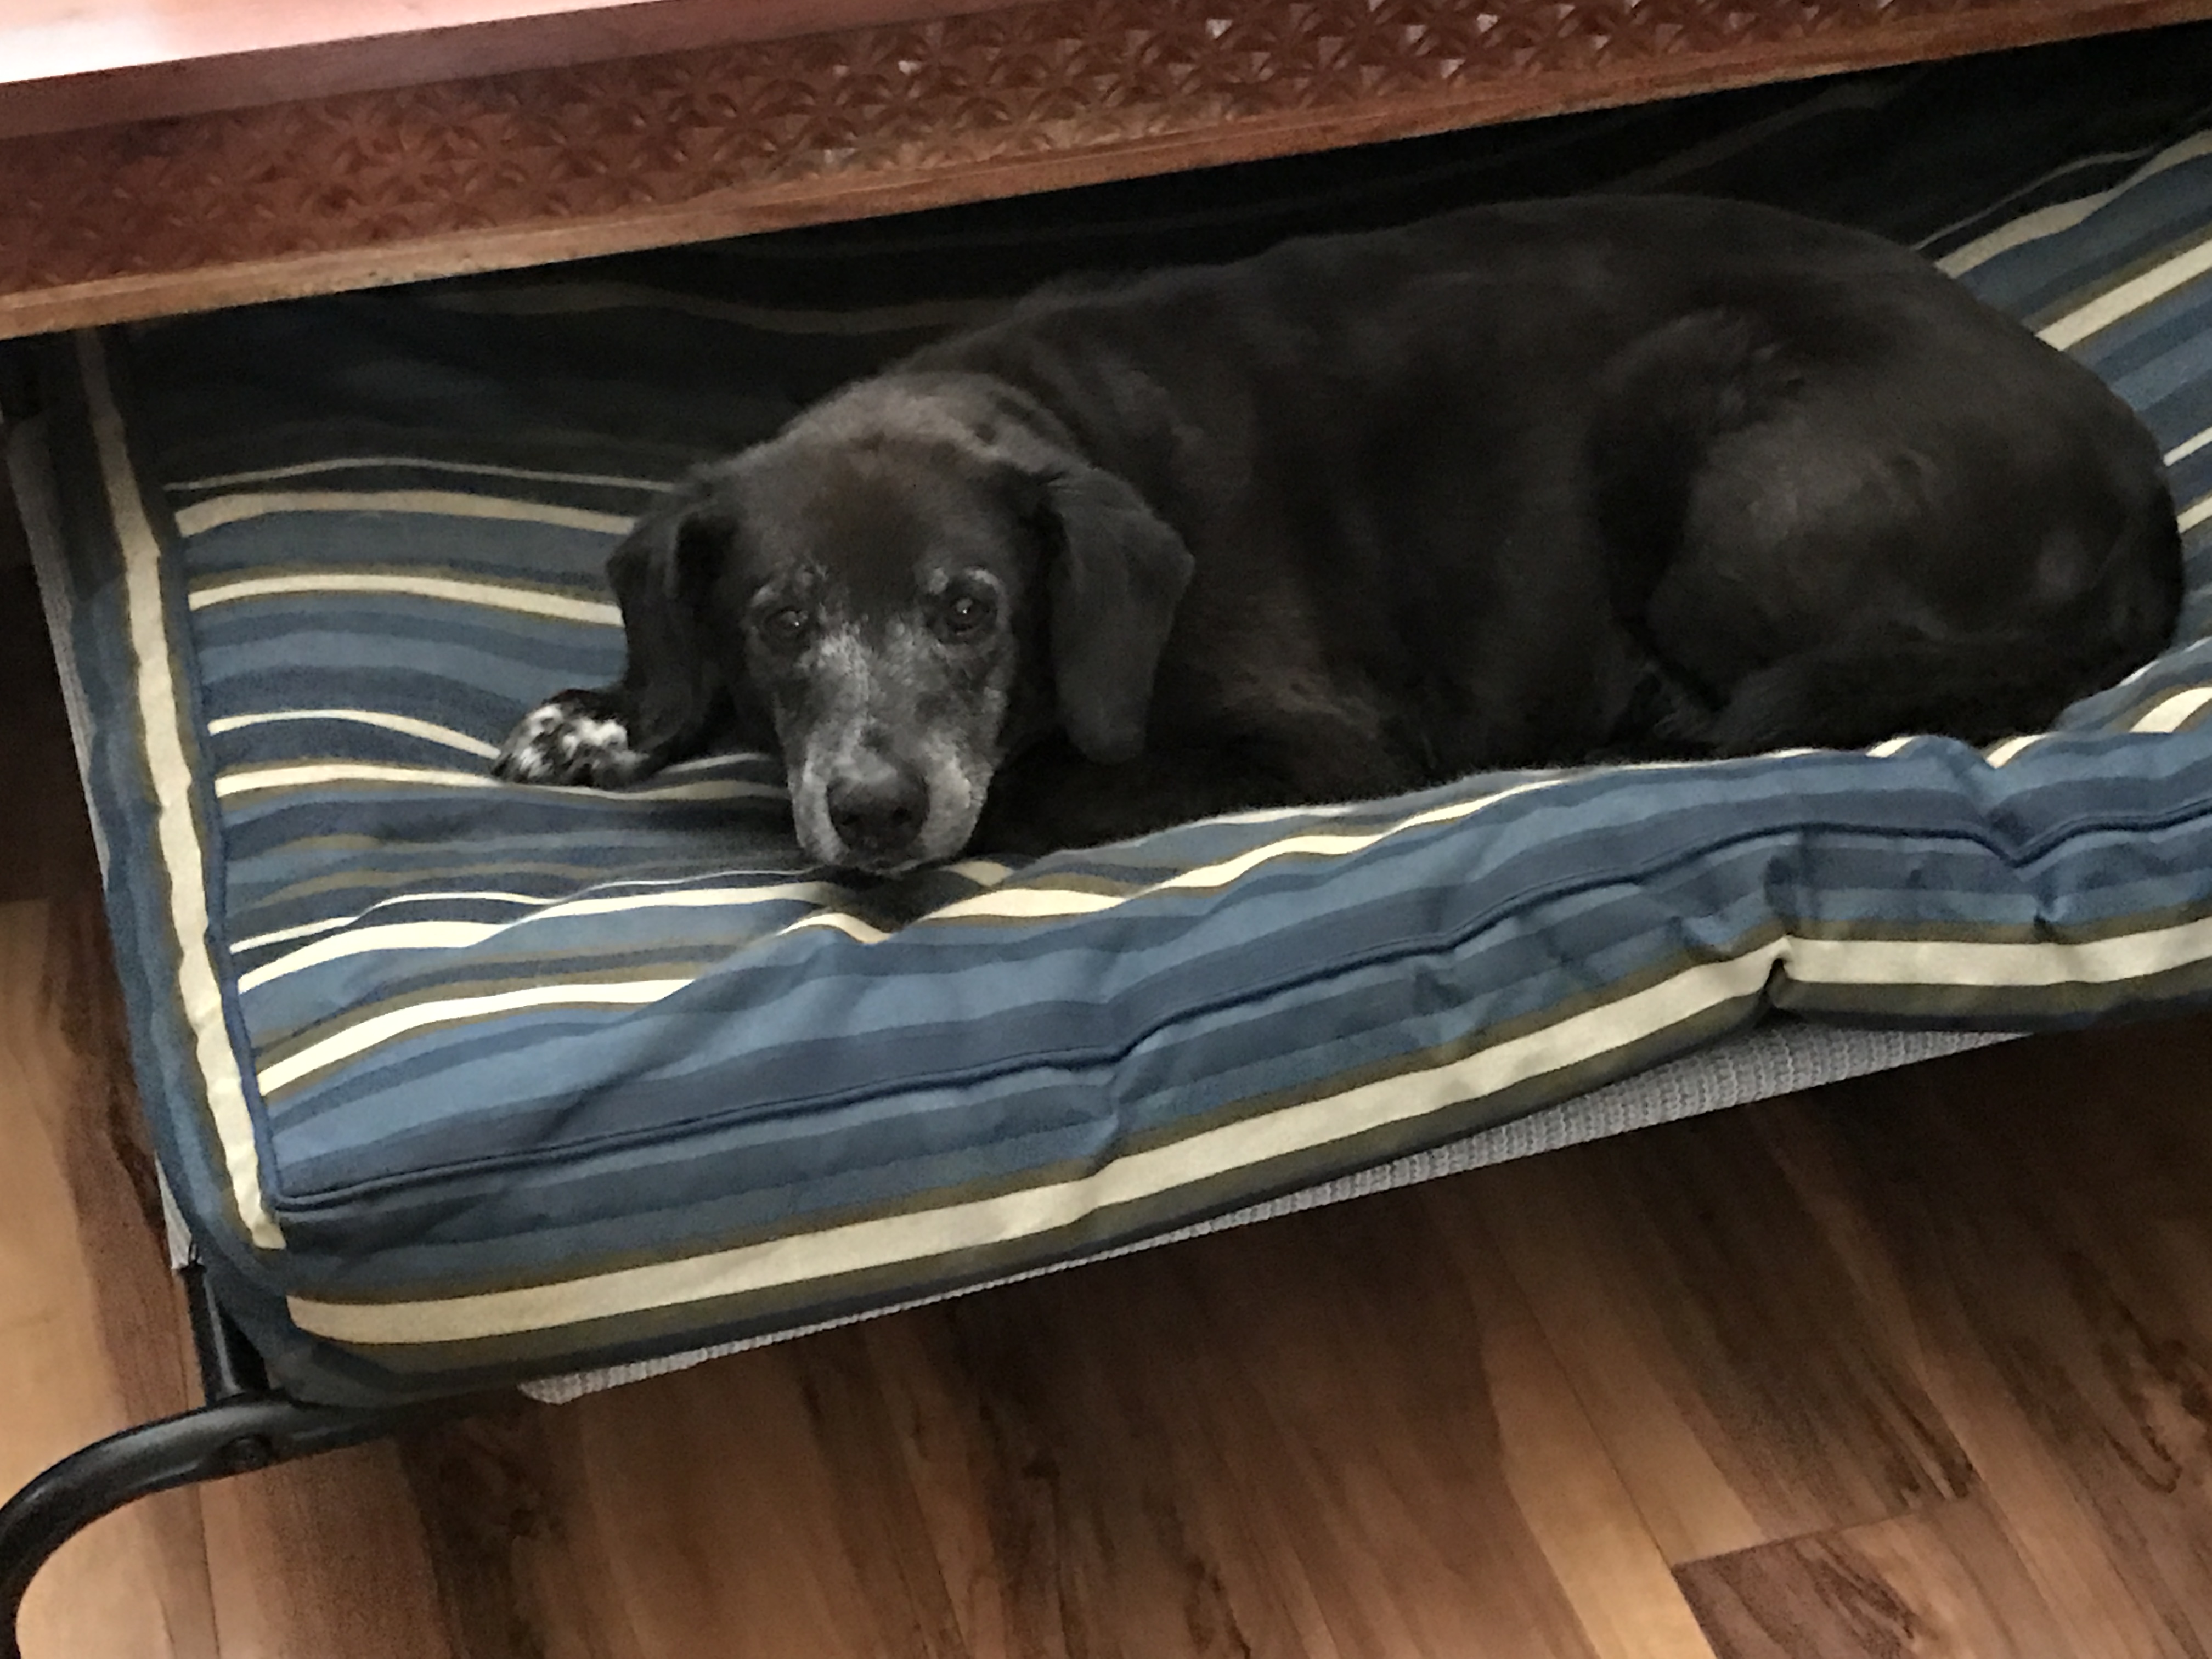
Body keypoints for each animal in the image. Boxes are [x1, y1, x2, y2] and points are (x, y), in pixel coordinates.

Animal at [495, 195, 2183, 874]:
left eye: (971, 611)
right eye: (778, 622)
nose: (874, 813)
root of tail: (2143, 496)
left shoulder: (1313, 745)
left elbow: (1046, 789)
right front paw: (607, 715)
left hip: (1692, 446)